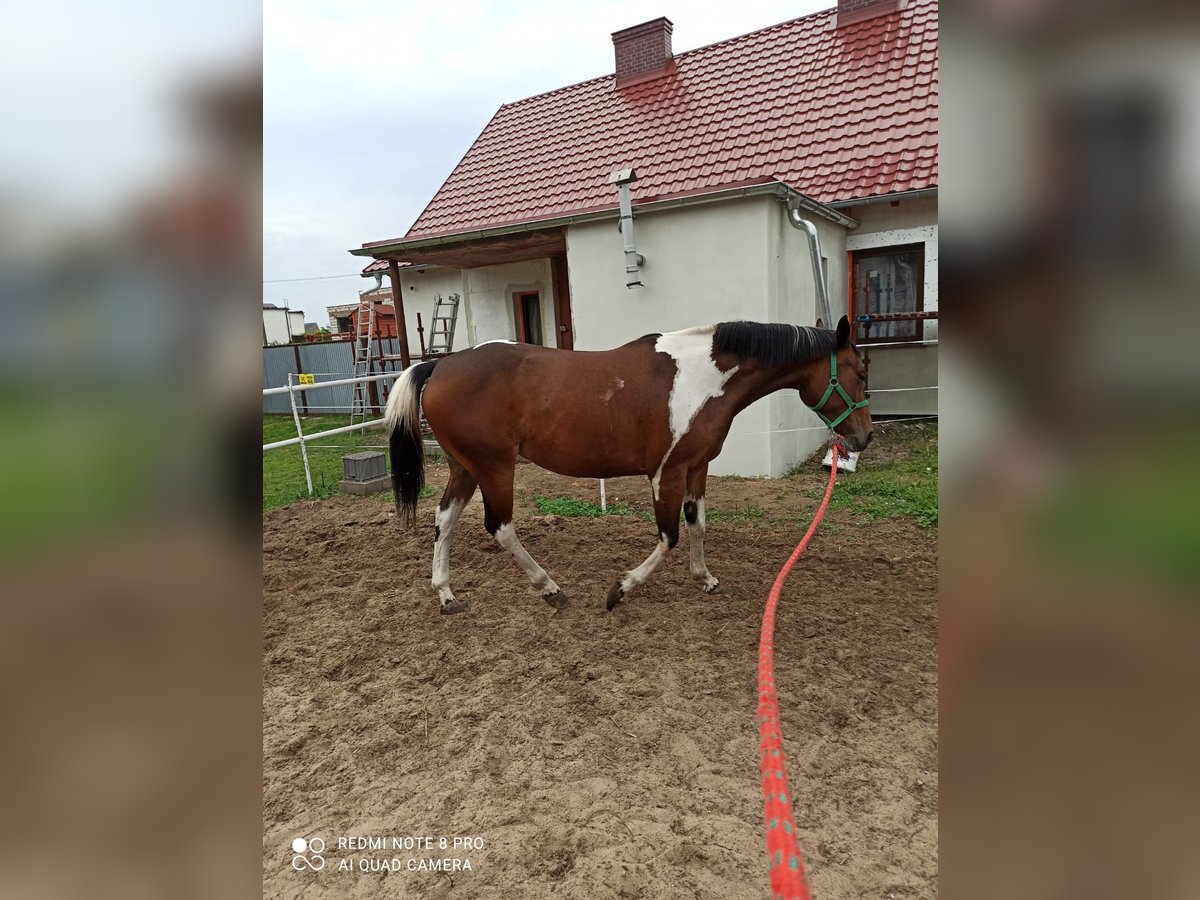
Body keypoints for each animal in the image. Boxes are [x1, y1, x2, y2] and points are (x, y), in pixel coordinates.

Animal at [384, 314, 873, 619]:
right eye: (861, 371)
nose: (864, 436)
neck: (702, 378)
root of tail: (440, 365)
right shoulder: (666, 472)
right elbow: (668, 536)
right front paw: (619, 590)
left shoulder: (696, 468)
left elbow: (697, 525)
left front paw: (706, 579)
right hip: (495, 467)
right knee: (500, 527)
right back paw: (550, 588)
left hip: (465, 467)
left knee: (445, 519)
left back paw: (446, 595)